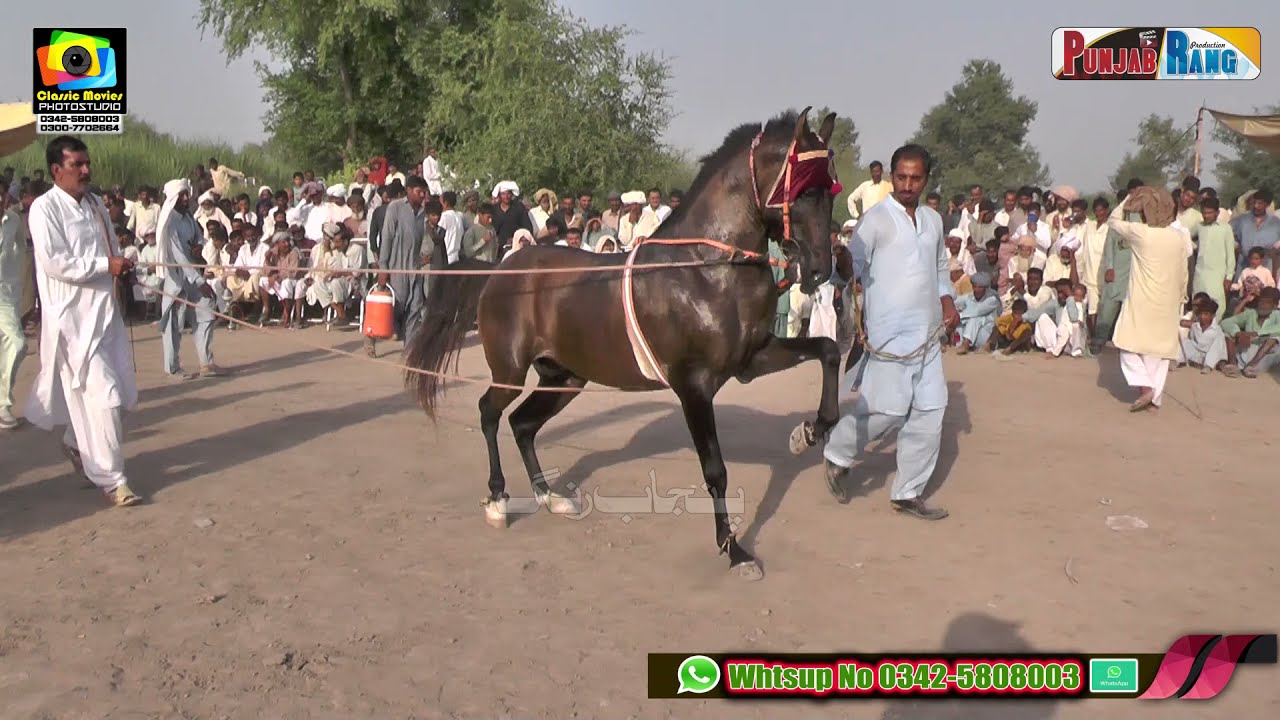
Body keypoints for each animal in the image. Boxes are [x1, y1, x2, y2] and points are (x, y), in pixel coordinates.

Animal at [405, 108, 850, 581]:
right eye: (803, 188)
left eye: (830, 189)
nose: (820, 268)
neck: (704, 268)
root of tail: (499, 270)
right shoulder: (694, 384)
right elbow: (715, 469)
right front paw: (734, 550)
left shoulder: (752, 359)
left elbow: (827, 350)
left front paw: (810, 430)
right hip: (510, 369)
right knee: (489, 412)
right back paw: (498, 499)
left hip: (564, 378)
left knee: (523, 424)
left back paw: (551, 497)